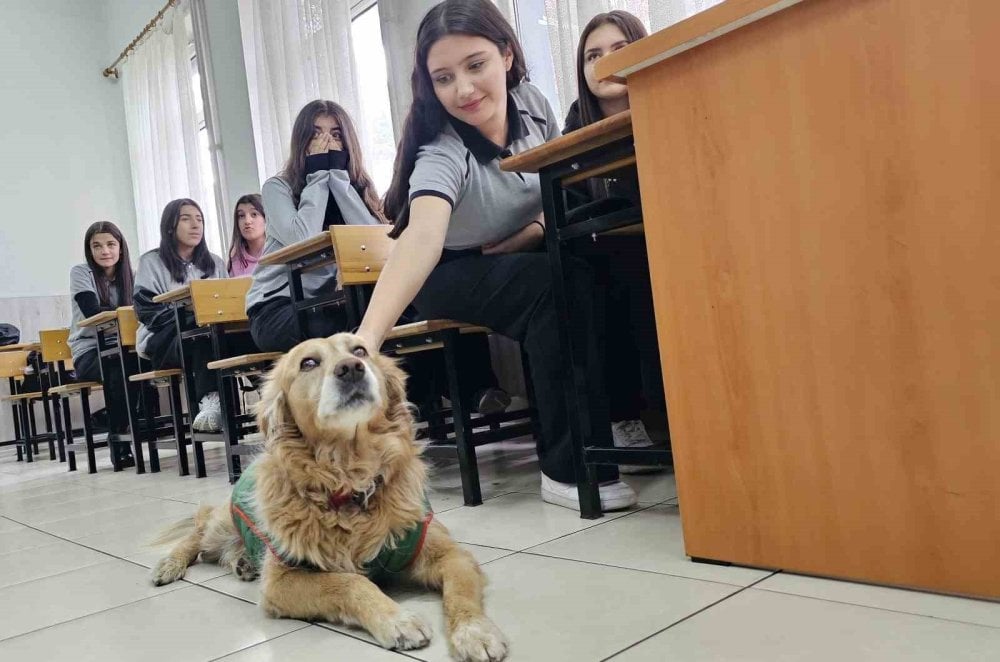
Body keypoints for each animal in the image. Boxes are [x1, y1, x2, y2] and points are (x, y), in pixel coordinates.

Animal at [150, 338, 508, 662]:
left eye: (360, 350)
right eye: (308, 363)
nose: (351, 368)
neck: (350, 481)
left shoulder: (449, 554)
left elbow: (460, 595)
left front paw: (475, 632)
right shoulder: (280, 581)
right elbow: (349, 582)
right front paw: (396, 619)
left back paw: (243, 563)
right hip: (223, 525)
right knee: (197, 532)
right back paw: (169, 564)